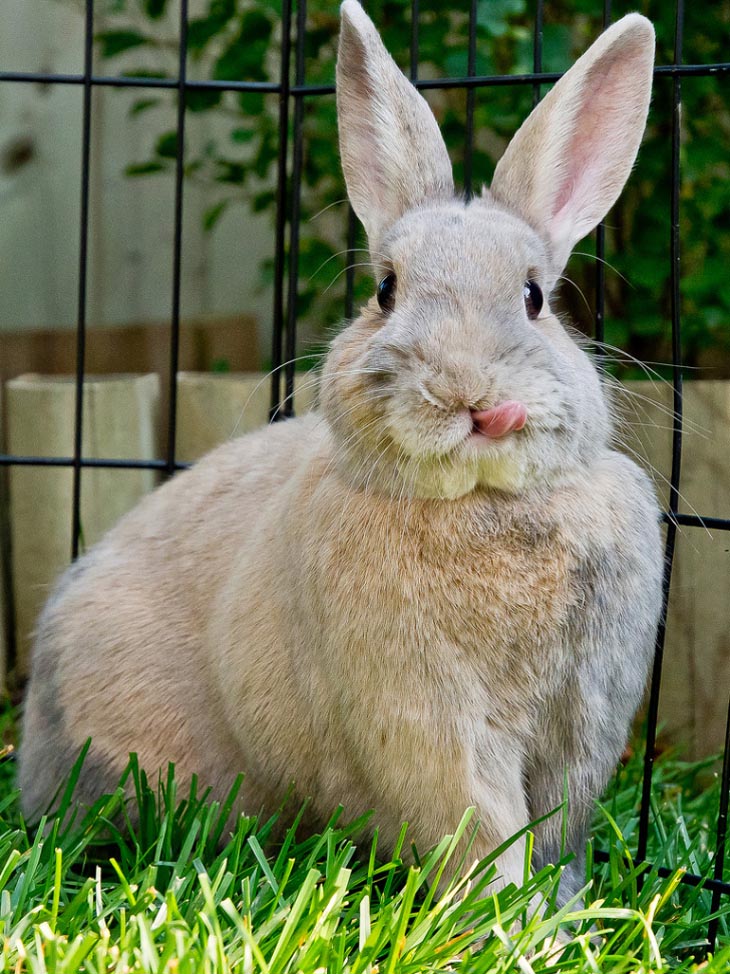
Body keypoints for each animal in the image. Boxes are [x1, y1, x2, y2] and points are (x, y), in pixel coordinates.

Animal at [19, 3, 664, 912]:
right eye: (386, 291)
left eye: (536, 299)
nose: (470, 395)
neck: (480, 501)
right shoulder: (427, 724)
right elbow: (479, 826)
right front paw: (500, 919)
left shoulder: (582, 724)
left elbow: (553, 834)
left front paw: (564, 914)